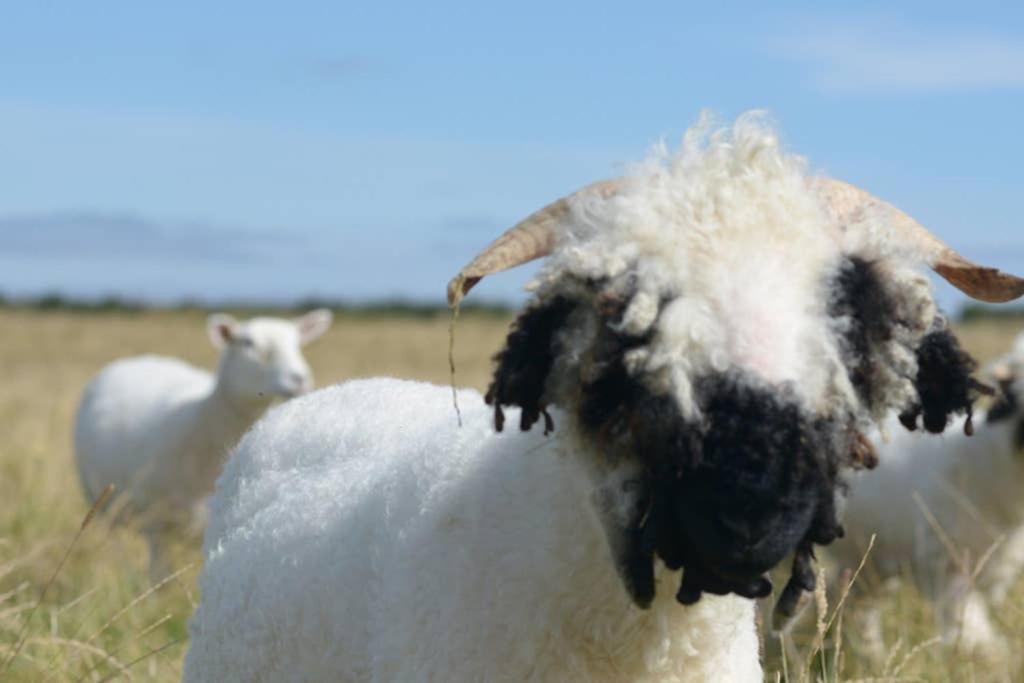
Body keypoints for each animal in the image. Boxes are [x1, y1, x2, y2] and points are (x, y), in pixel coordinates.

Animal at [75, 307, 331, 581]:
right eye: (247, 342)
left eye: (298, 343)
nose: (300, 379)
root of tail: (139, 359)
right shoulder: (157, 523)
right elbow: (160, 578)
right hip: (104, 505)